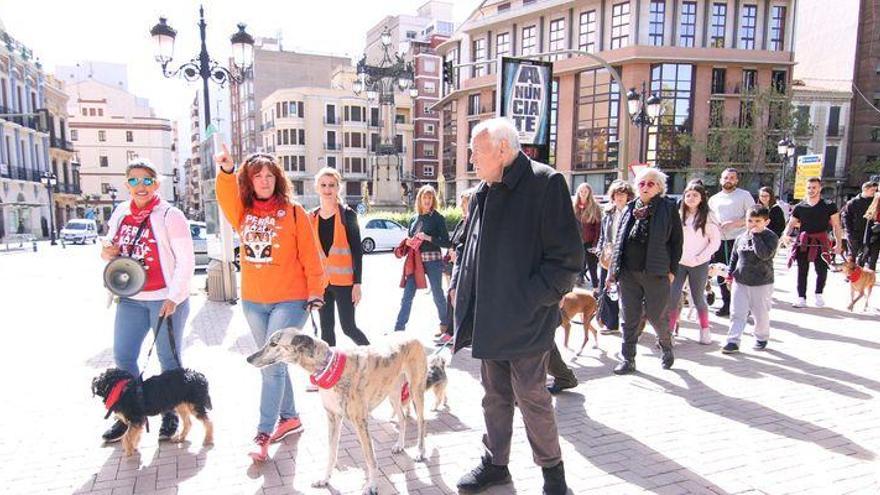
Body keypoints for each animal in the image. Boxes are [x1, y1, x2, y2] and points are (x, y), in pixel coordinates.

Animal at [246, 330, 428, 495]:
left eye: (274, 344)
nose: (248, 359)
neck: (327, 366)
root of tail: (412, 335)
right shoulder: (333, 417)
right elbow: (331, 452)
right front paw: (324, 479)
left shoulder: (360, 422)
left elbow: (370, 458)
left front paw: (372, 486)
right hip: (393, 393)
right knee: (402, 418)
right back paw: (400, 445)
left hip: (416, 390)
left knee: (421, 422)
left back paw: (420, 452)